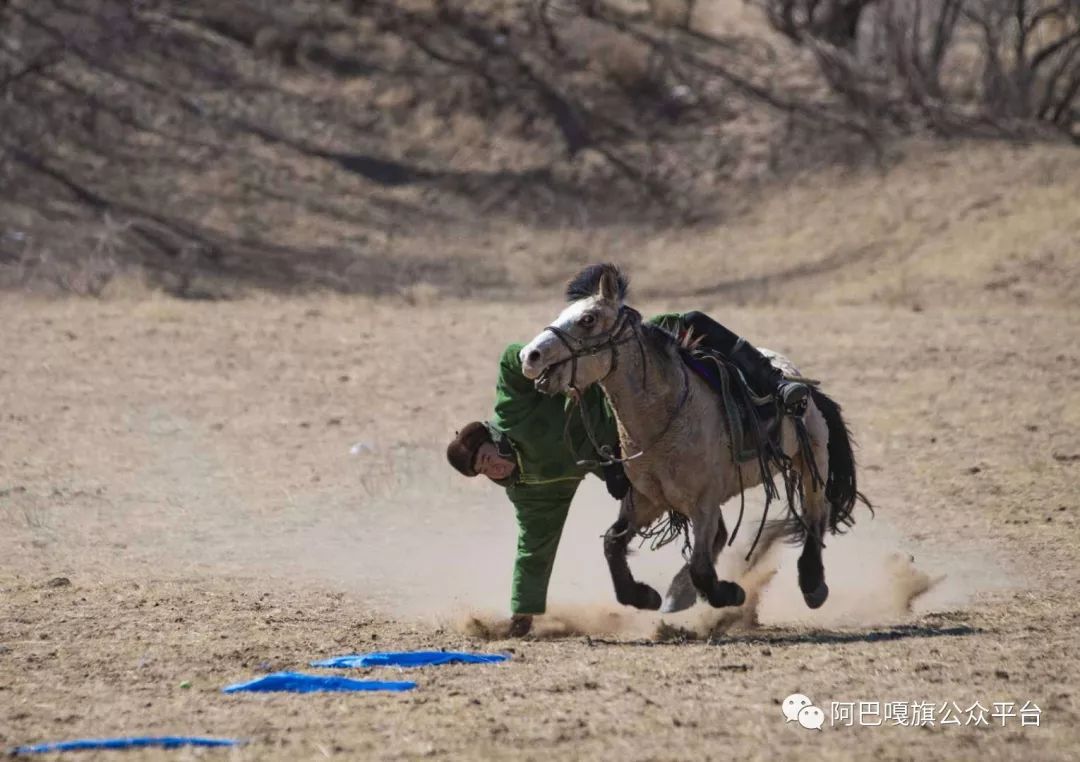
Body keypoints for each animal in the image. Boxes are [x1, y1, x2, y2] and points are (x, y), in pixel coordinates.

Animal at [516, 261, 868, 613]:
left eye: (588, 319)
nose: (529, 356)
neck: (664, 419)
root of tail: (799, 379)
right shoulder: (647, 499)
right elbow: (613, 543)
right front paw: (644, 596)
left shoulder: (703, 504)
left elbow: (701, 567)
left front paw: (730, 593)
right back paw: (680, 593)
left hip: (812, 462)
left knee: (815, 516)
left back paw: (813, 584)